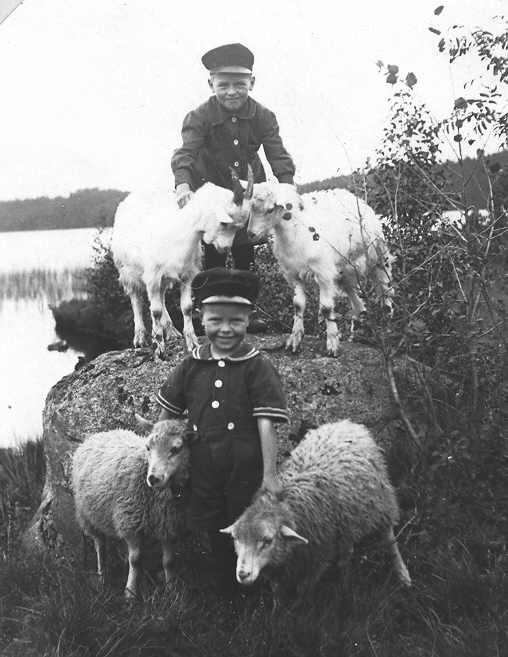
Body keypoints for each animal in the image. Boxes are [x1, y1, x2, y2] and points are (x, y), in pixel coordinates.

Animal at [71, 418, 189, 596]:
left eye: (176, 449)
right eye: (148, 447)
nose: (153, 478)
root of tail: (104, 432)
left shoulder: (168, 526)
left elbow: (169, 561)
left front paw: (172, 590)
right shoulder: (130, 523)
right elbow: (135, 560)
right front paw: (130, 592)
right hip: (88, 517)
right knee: (100, 546)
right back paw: (102, 577)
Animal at [111, 177, 250, 356]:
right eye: (224, 223)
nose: (225, 248)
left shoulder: (187, 275)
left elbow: (187, 308)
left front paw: (192, 342)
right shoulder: (152, 276)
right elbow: (154, 311)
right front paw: (159, 347)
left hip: (163, 278)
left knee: (161, 297)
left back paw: (171, 331)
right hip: (126, 270)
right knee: (136, 300)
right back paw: (140, 338)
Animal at [220, 420, 410, 600]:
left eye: (268, 541)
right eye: (235, 539)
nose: (243, 574)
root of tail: (345, 423)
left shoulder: (317, 559)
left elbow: (303, 591)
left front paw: (300, 606)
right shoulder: (280, 570)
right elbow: (278, 593)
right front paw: (278, 608)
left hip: (380, 499)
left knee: (389, 536)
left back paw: (402, 574)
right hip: (348, 517)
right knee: (348, 546)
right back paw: (344, 575)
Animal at [241, 182, 392, 356]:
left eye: (270, 209)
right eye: (251, 207)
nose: (250, 234)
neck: (295, 231)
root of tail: (355, 198)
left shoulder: (323, 273)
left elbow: (326, 308)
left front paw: (332, 343)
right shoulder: (294, 275)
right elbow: (298, 305)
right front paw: (295, 339)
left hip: (379, 257)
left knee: (385, 288)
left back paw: (388, 322)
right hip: (344, 271)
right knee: (357, 300)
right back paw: (358, 328)